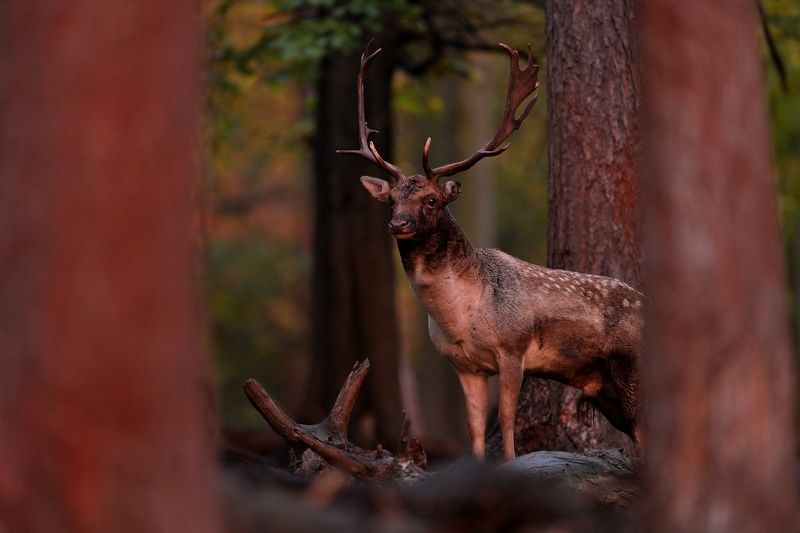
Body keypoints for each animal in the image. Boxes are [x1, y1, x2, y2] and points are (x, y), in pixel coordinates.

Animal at [338, 41, 644, 461]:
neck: (461, 316)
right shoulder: (464, 366)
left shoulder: (513, 349)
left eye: (432, 200)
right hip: (603, 388)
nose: (398, 224)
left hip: (631, 367)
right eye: (391, 201)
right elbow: (475, 429)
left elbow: (507, 421)